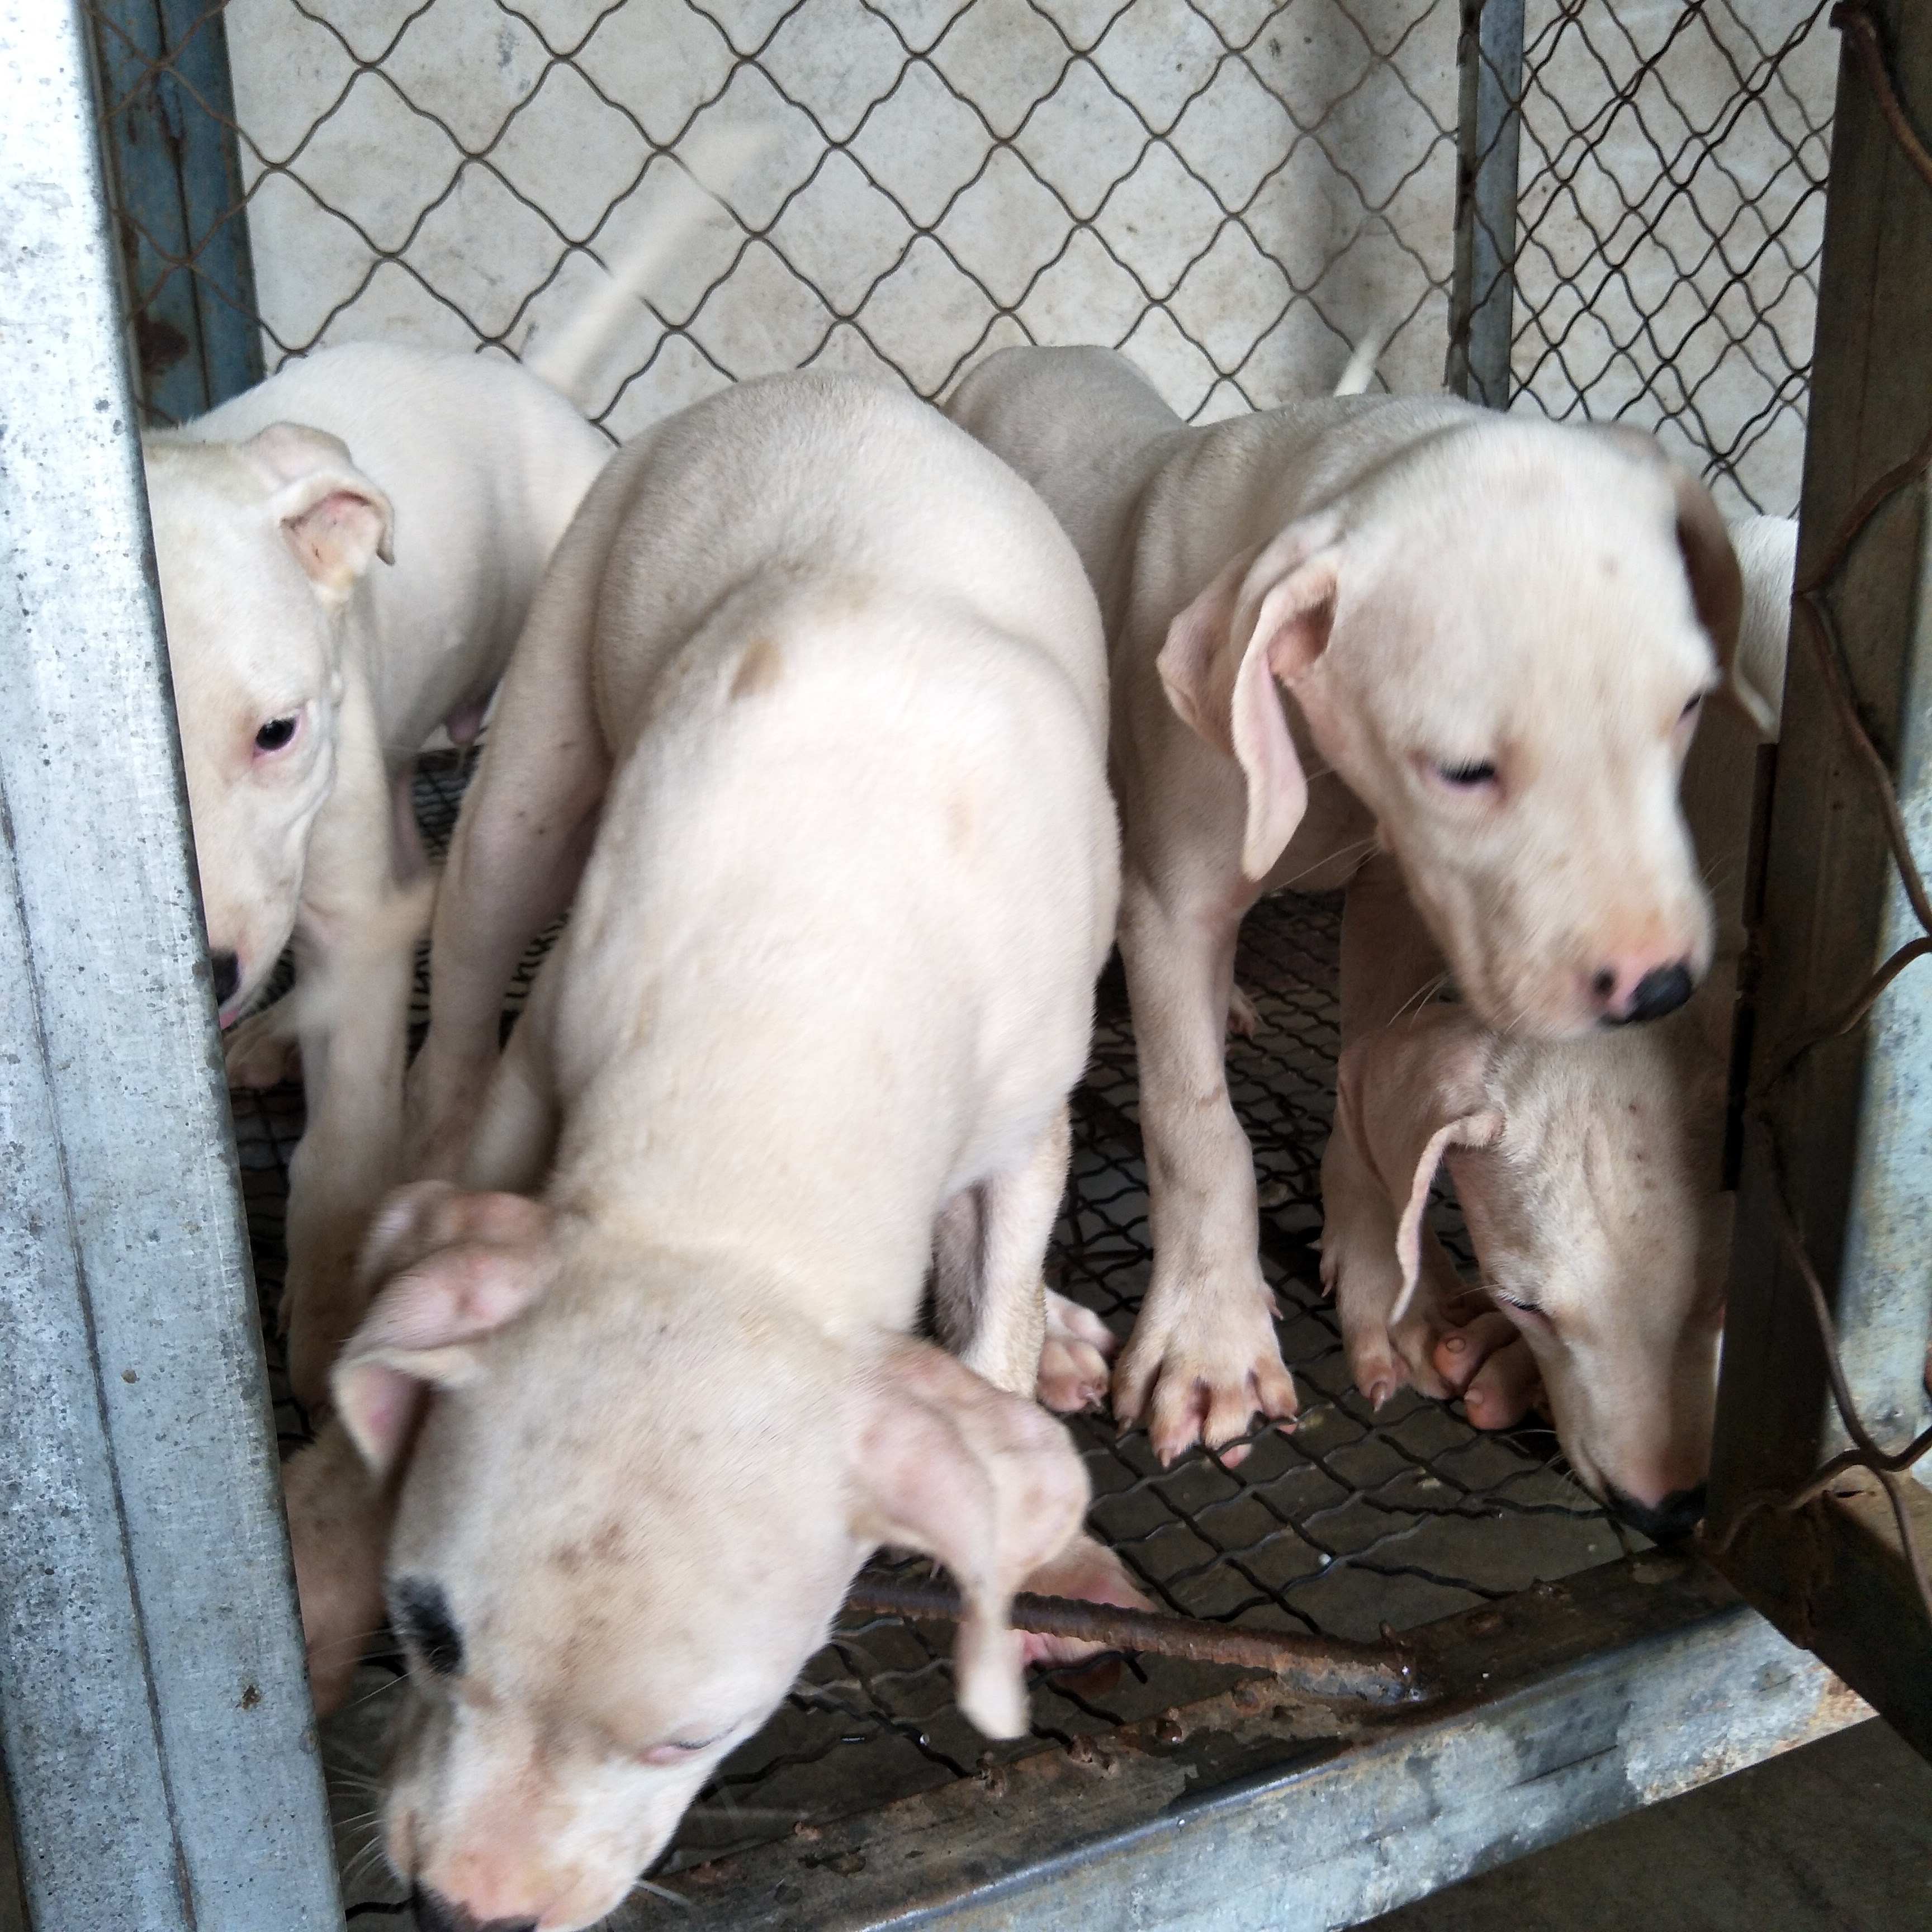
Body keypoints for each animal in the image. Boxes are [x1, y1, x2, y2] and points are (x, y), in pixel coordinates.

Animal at [287, 376, 1128, 1932]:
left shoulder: (1026, 1117)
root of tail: (824, 388)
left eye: (697, 1737)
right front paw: (323, 1530)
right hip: (535, 763)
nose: (465, 1911)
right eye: (423, 1631)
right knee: (466, 986)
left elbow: (986, 1316)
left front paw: (1039, 1528)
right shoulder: (555, 1048)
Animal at [943, 348, 1769, 1460]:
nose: (1660, 987)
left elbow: (1369, 1075)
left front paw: (1390, 1288)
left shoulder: (1399, 889)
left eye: (1687, 708)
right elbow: (1197, 1127)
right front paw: (1208, 1340)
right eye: (1462, 770)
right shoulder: (1172, 907)